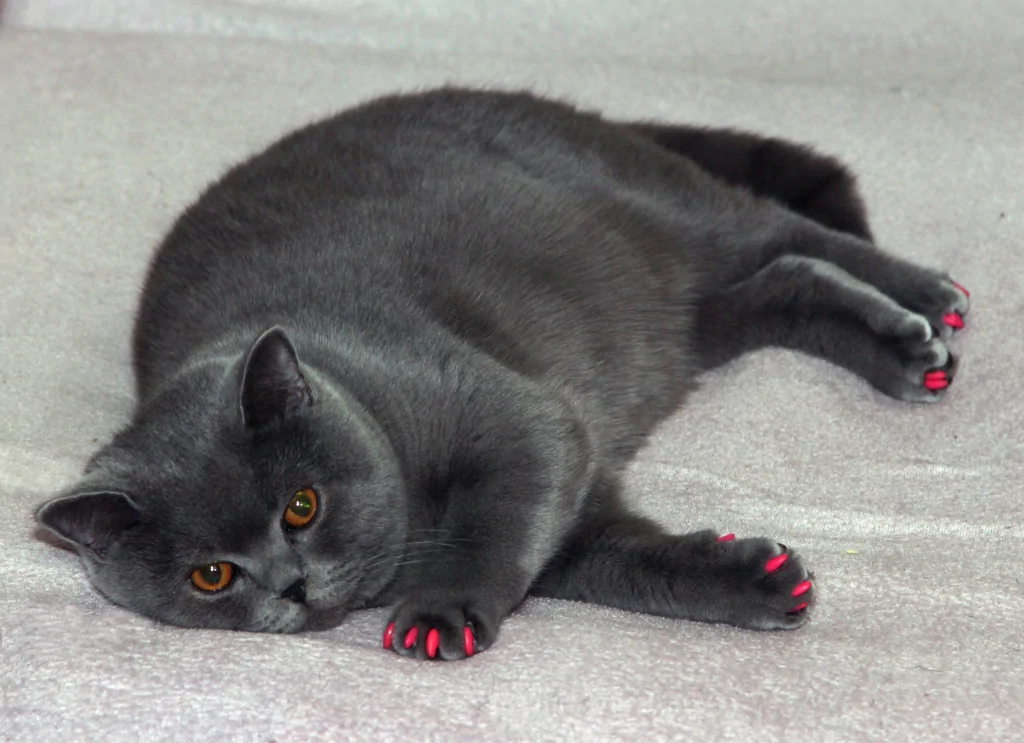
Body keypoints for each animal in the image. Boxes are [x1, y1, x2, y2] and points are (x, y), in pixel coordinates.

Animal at [34, 88, 966, 663]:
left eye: (302, 506)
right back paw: (902, 347)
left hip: (671, 211)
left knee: (788, 234)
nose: (291, 584)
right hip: (669, 317)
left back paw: (929, 310)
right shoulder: (577, 509)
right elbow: (623, 564)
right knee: (784, 282)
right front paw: (759, 581)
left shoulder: (521, 418)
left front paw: (441, 611)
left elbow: (496, 524)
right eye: (213, 576)